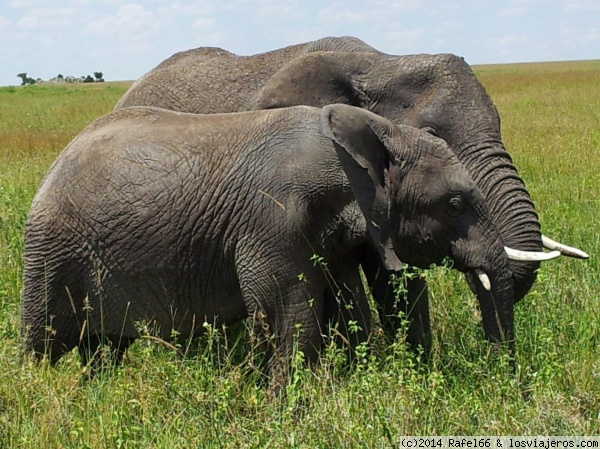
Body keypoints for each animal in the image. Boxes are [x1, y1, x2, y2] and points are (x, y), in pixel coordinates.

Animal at [21, 102, 532, 388]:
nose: (505, 381)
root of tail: (59, 158)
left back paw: (95, 394)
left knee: (104, 349)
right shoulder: (273, 216)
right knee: (42, 341)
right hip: (51, 250)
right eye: (455, 203)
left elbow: (347, 307)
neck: (374, 133)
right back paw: (33, 394)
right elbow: (289, 312)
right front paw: (283, 410)